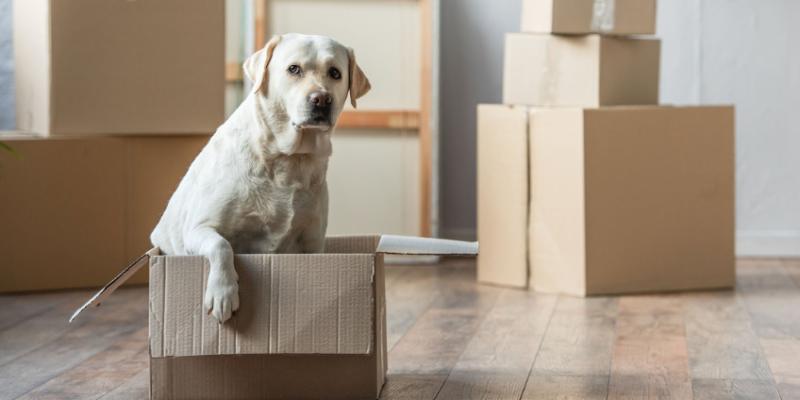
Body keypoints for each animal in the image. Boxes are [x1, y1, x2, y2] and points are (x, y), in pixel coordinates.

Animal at [151, 32, 372, 324]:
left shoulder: (313, 244)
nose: (321, 100)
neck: (288, 160)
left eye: (335, 73)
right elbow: (221, 245)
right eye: (294, 69)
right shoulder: (198, 228)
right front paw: (223, 293)